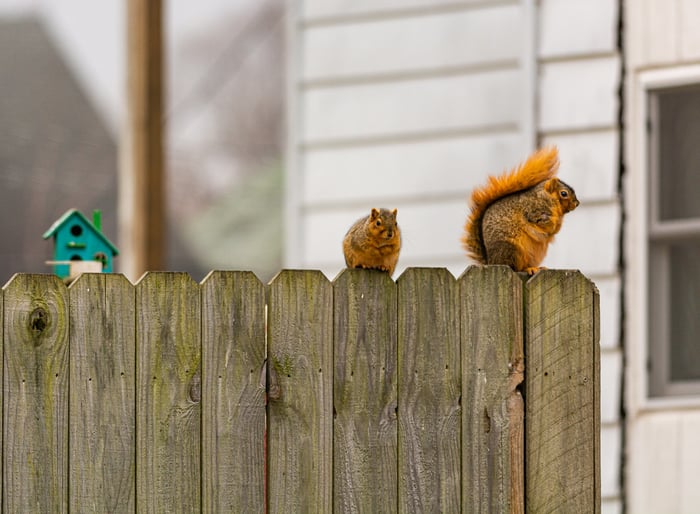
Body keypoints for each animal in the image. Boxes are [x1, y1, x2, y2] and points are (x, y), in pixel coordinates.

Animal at [462, 146, 579, 275]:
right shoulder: (533, 211)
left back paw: (538, 268)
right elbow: (542, 223)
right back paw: (528, 269)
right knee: (515, 268)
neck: (545, 197)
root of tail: (492, 262)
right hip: (512, 250)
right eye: (564, 193)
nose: (577, 203)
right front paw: (552, 222)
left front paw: (558, 224)